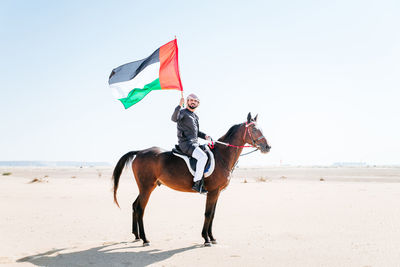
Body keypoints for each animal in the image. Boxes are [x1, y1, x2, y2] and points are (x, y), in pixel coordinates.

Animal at [111, 112, 270, 247]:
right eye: (254, 129)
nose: (267, 147)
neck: (222, 156)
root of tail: (140, 152)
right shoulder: (213, 192)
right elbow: (208, 214)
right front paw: (206, 239)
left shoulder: (217, 192)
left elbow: (212, 214)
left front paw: (212, 237)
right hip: (146, 188)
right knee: (140, 209)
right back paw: (145, 239)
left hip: (147, 187)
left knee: (135, 205)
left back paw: (137, 236)